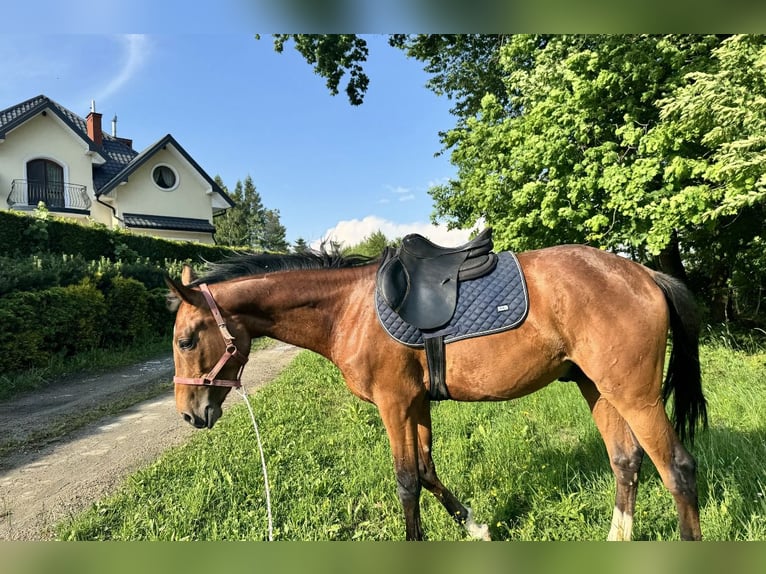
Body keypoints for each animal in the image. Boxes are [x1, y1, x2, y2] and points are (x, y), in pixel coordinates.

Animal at [166, 245, 708, 544]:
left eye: (186, 341)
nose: (190, 414)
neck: (348, 309)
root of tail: (643, 274)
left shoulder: (394, 404)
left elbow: (406, 481)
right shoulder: (417, 403)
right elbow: (427, 471)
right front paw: (476, 528)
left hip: (635, 395)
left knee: (677, 470)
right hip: (598, 388)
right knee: (626, 461)